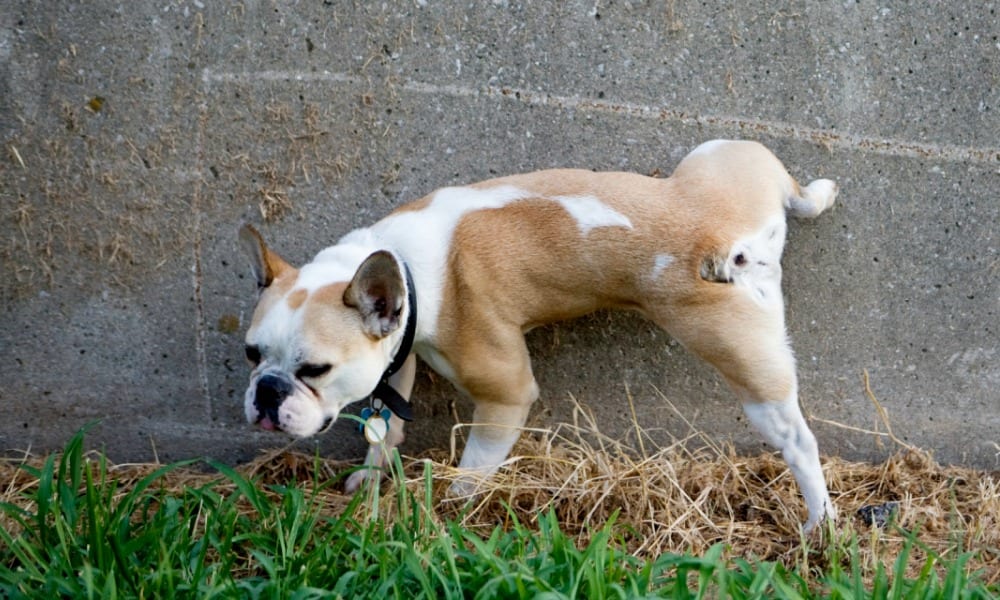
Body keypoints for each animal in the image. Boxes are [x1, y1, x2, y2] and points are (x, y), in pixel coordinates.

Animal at [238, 139, 840, 528]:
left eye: (315, 370)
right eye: (251, 354)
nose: (266, 392)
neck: (401, 265)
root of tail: (728, 238)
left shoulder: (503, 394)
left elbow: (475, 465)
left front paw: (451, 507)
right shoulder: (397, 350)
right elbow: (386, 423)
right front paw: (372, 475)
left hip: (743, 361)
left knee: (796, 440)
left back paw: (819, 521)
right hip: (724, 153)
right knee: (791, 184)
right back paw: (819, 193)